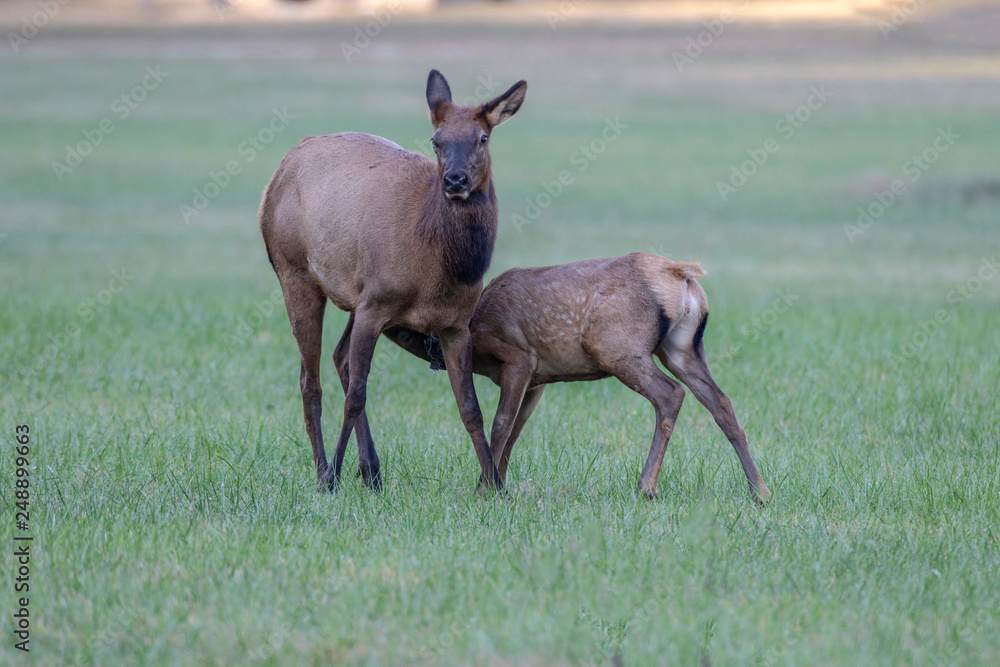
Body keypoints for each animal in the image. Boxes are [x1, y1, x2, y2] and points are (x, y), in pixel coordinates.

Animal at [259, 70, 527, 493]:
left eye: (483, 138)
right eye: (436, 140)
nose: (455, 180)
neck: (438, 273)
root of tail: (277, 174)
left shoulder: (455, 324)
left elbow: (470, 408)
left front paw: (493, 485)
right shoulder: (376, 304)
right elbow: (355, 396)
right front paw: (333, 477)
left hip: (354, 294)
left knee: (339, 359)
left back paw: (371, 470)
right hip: (294, 272)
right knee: (310, 378)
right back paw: (324, 472)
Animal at [384, 252, 772, 503]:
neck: (477, 331)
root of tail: (684, 276)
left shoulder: (518, 356)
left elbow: (501, 424)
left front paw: (486, 488)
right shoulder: (538, 380)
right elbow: (515, 430)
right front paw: (498, 481)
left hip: (617, 346)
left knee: (670, 394)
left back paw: (646, 487)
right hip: (682, 347)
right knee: (720, 401)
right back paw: (760, 491)